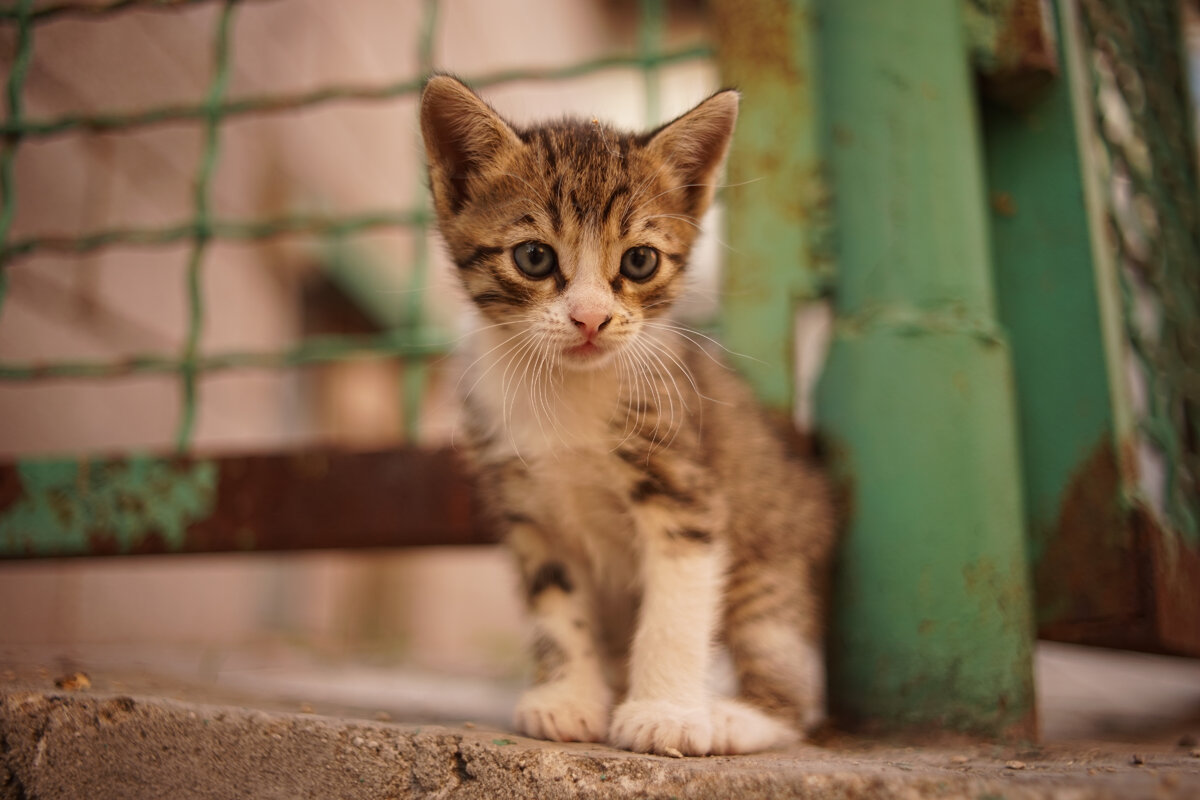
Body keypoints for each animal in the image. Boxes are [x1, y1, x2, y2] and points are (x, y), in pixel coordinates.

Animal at [422, 74, 835, 758]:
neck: (566, 391)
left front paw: (665, 713)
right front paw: (567, 699)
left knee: (795, 688)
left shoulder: (684, 489)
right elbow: (557, 606)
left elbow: (674, 608)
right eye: (534, 257)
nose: (590, 318)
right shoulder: (526, 508)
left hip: (769, 571)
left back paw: (736, 716)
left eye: (639, 261)